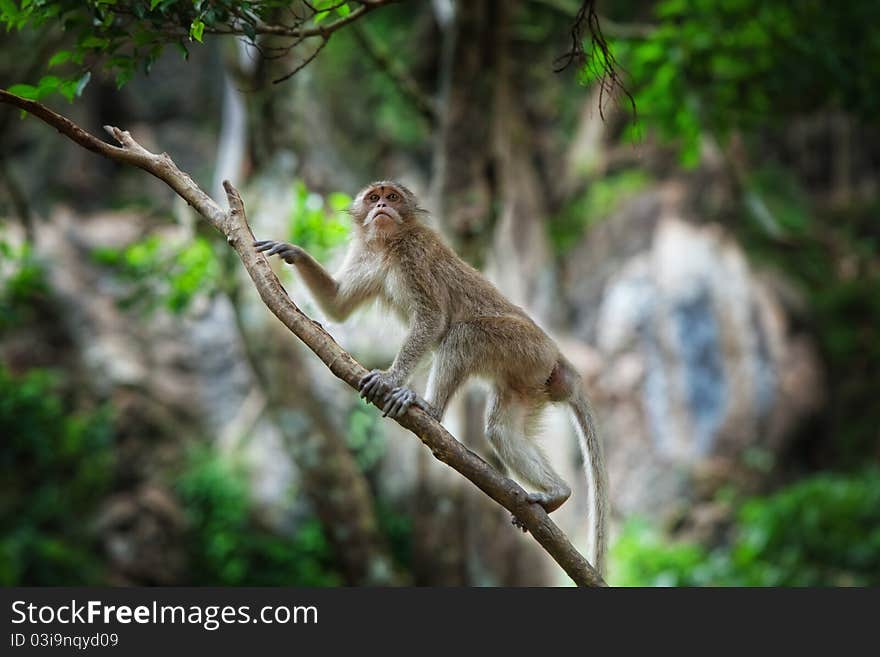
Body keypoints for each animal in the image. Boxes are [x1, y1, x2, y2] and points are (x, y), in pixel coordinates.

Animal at [254, 179, 608, 576]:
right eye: (373, 197)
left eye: (392, 197)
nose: (381, 206)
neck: (388, 244)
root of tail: (557, 356)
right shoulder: (367, 256)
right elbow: (338, 305)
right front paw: (294, 252)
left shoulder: (414, 255)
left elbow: (433, 319)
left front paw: (391, 379)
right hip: (528, 380)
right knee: (500, 430)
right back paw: (557, 494)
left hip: (525, 349)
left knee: (463, 335)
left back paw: (429, 409)